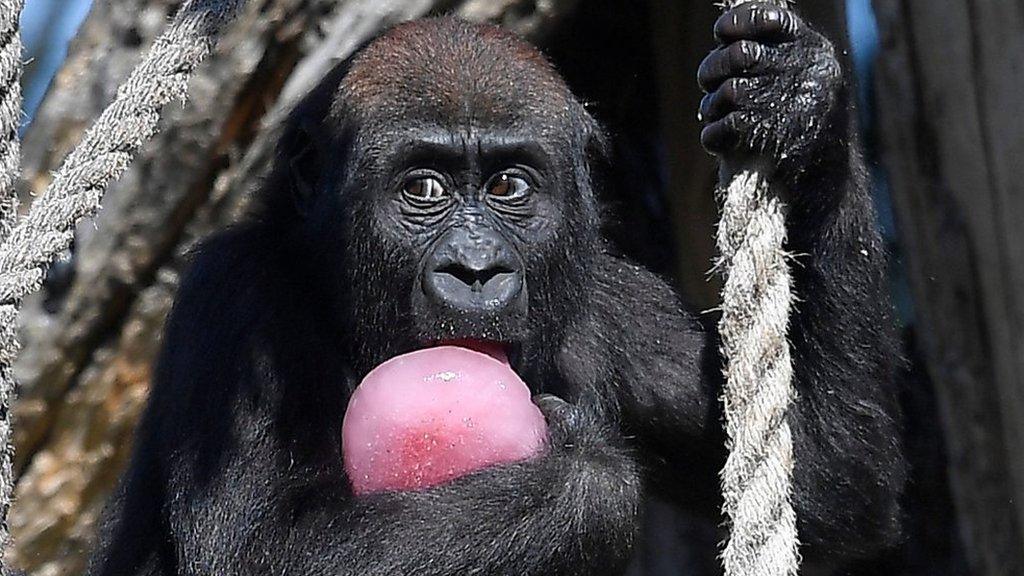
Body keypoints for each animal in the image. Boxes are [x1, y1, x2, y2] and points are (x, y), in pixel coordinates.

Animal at [86, 5, 905, 573]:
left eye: (510, 185)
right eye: (423, 188)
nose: (476, 270)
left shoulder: (608, 297)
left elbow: (831, 480)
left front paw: (796, 96)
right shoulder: (235, 297)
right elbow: (258, 552)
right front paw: (586, 477)